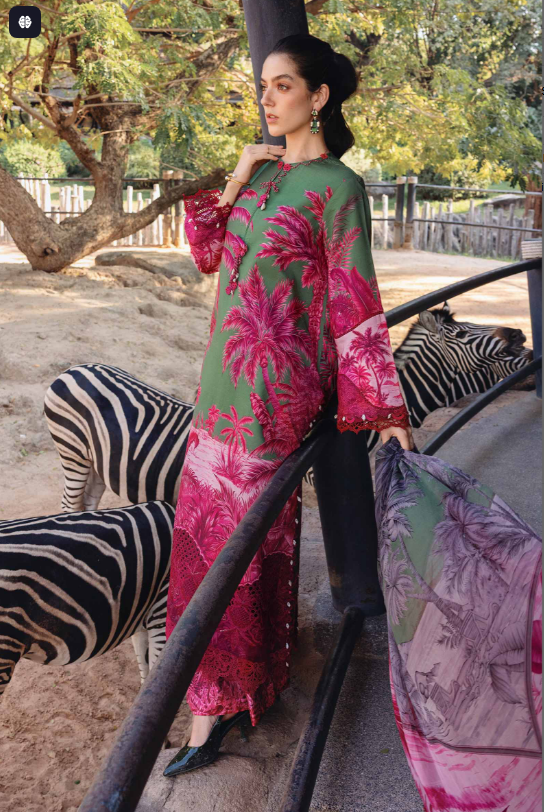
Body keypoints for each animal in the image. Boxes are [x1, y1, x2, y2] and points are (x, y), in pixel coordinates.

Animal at [44, 302, 533, 509]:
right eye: (462, 334)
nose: (521, 335)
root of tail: (76, 367)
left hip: (93, 465)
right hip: (72, 457)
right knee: (70, 507)